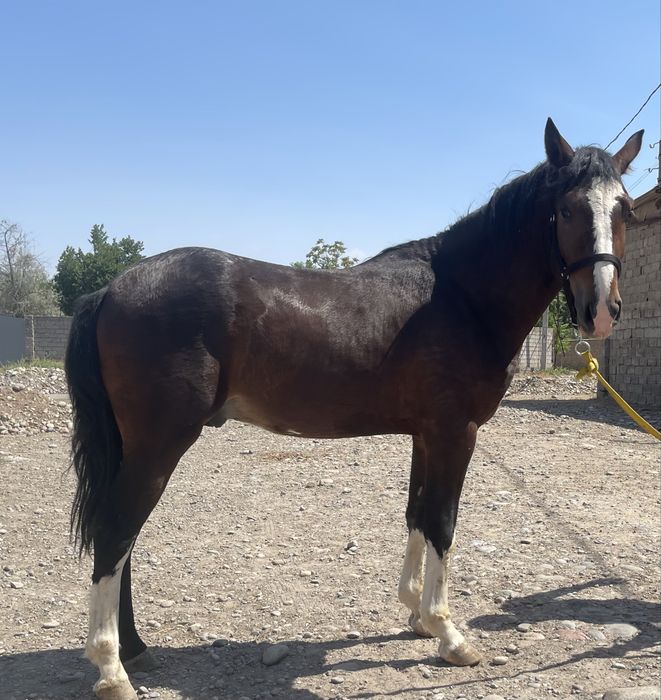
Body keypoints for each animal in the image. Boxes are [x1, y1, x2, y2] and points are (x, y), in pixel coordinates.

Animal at [65, 119, 643, 700]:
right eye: (566, 209)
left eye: (625, 210)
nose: (601, 311)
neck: (460, 297)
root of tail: (109, 289)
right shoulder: (456, 433)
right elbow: (443, 522)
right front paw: (448, 634)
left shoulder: (426, 435)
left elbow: (416, 514)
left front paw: (415, 615)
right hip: (159, 445)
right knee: (115, 532)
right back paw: (111, 669)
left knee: (122, 540)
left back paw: (135, 650)